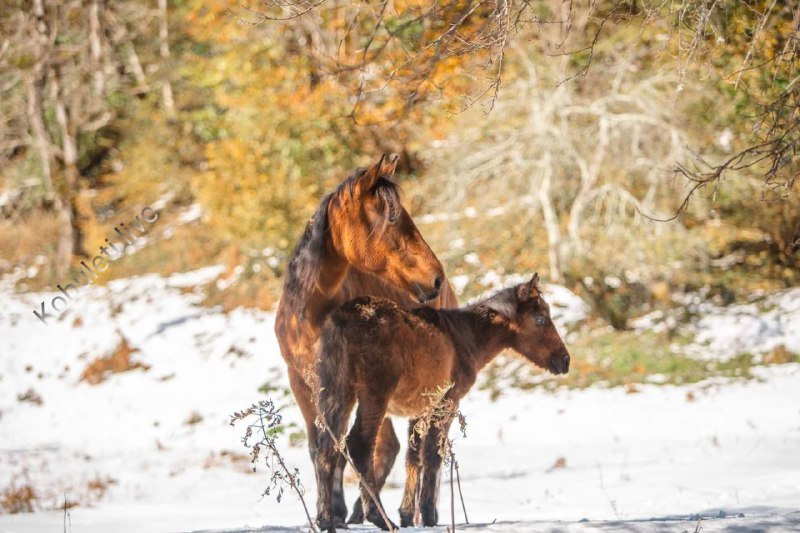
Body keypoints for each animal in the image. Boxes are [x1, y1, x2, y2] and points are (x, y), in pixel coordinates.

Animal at [274, 153, 456, 524]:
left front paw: (335, 512)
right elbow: (320, 447)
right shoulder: (301, 383)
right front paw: (330, 513)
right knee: (389, 445)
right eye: (391, 218)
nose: (435, 278)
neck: (311, 313)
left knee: (414, 447)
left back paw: (400, 512)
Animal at [312, 272, 568, 528]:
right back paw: (378, 517)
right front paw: (427, 515)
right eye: (540, 318)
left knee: (326, 449)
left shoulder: (419, 410)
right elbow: (432, 456)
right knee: (360, 445)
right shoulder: (447, 404)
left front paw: (407, 514)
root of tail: (341, 321)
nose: (564, 360)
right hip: (374, 394)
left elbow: (413, 457)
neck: (467, 340)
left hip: (337, 391)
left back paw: (326, 520)